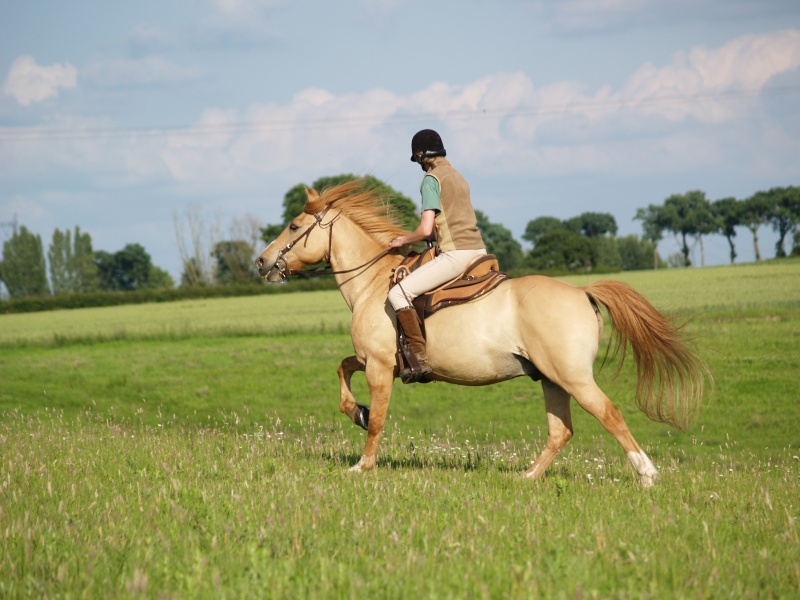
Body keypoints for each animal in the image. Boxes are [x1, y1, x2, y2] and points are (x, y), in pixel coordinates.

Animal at [255, 179, 708, 488]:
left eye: (293, 225)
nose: (261, 262)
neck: (373, 283)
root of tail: (581, 291)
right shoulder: (370, 360)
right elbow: (342, 371)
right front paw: (357, 412)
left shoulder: (381, 366)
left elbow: (379, 419)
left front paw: (363, 464)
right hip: (550, 378)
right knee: (560, 431)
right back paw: (526, 477)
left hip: (573, 377)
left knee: (609, 414)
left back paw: (646, 474)